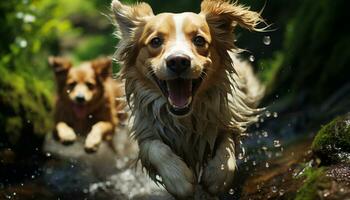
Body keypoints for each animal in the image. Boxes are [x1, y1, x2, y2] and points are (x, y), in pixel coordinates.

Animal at [110, 0, 264, 198]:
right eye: (155, 41)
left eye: (199, 40)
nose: (178, 61)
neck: (184, 118)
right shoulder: (144, 129)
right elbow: (155, 148)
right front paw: (178, 179)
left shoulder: (228, 116)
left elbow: (227, 142)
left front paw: (218, 175)